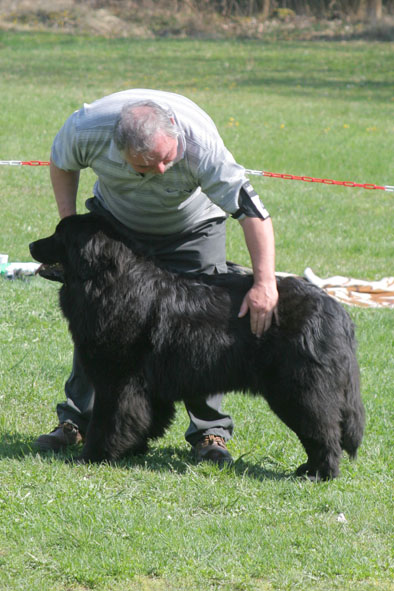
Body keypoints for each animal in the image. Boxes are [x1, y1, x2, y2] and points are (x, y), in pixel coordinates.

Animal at [29, 213, 364, 480]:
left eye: (59, 235)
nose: (31, 244)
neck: (108, 283)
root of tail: (335, 308)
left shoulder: (118, 381)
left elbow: (109, 420)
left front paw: (93, 455)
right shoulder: (147, 387)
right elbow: (143, 419)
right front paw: (133, 449)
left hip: (299, 391)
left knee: (324, 432)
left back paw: (319, 473)